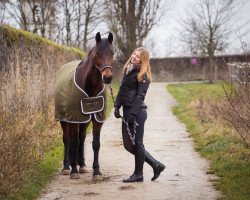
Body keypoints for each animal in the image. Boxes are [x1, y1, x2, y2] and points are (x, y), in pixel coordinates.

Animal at [54, 32, 114, 180]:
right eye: (98, 53)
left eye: (112, 53)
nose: (107, 77)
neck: (90, 88)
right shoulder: (74, 119)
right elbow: (74, 143)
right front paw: (73, 171)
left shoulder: (97, 119)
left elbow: (95, 144)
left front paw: (96, 172)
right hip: (65, 119)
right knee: (67, 139)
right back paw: (67, 167)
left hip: (84, 120)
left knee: (82, 138)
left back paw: (82, 165)